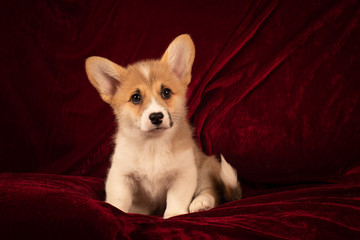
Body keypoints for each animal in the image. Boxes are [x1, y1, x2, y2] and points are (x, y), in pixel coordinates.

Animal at [85, 34, 240, 219]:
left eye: (166, 92)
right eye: (136, 97)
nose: (156, 117)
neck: (153, 144)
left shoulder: (184, 174)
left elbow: (176, 198)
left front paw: (173, 215)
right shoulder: (121, 174)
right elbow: (119, 199)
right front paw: (115, 210)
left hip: (206, 168)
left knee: (211, 192)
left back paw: (201, 203)